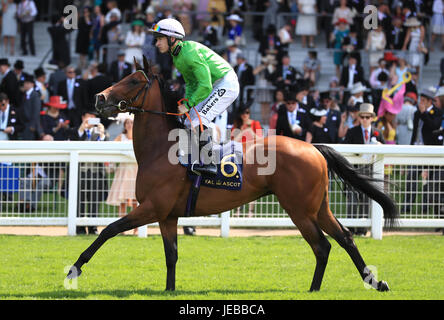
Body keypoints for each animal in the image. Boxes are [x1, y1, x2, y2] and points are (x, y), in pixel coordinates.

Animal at [67, 56, 398, 292]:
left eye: (134, 80)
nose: (98, 98)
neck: (161, 149)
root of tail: (313, 148)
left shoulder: (151, 208)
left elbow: (108, 230)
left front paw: (74, 268)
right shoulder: (167, 215)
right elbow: (171, 255)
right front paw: (169, 290)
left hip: (299, 209)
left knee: (322, 245)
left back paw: (314, 289)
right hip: (318, 206)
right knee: (345, 238)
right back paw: (374, 281)